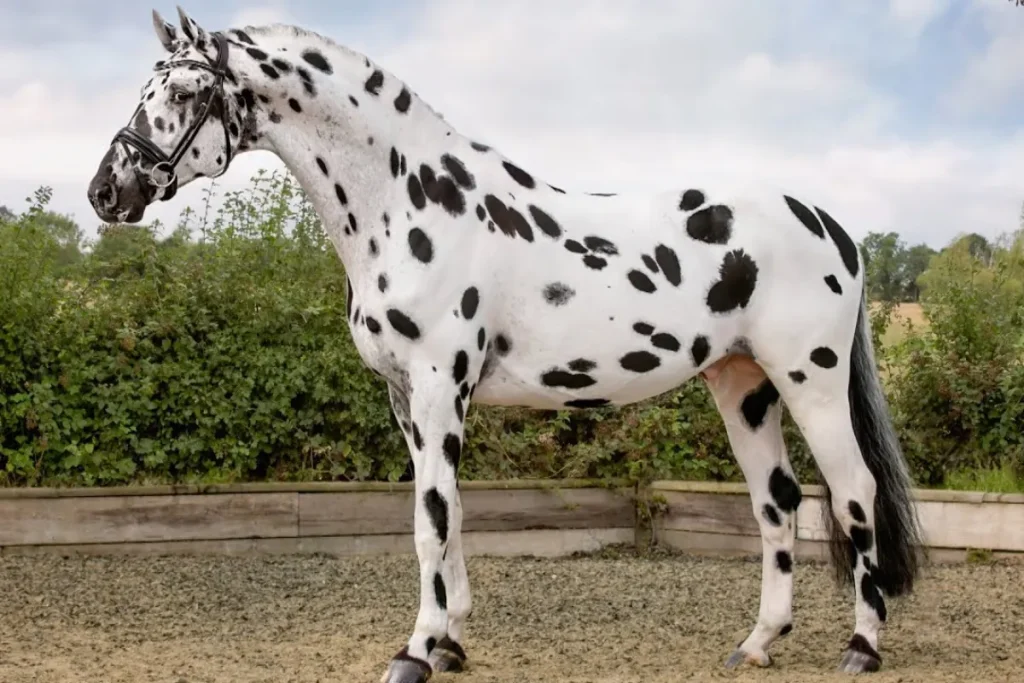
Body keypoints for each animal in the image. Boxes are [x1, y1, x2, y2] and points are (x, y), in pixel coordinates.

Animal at [86, 7, 923, 680]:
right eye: (146, 89)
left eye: (185, 93)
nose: (106, 191)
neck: (407, 200)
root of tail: (832, 225)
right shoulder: (407, 397)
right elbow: (449, 511)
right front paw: (451, 642)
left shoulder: (437, 386)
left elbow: (429, 520)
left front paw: (416, 651)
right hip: (741, 385)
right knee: (777, 502)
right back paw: (757, 643)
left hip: (811, 381)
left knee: (854, 492)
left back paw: (862, 646)